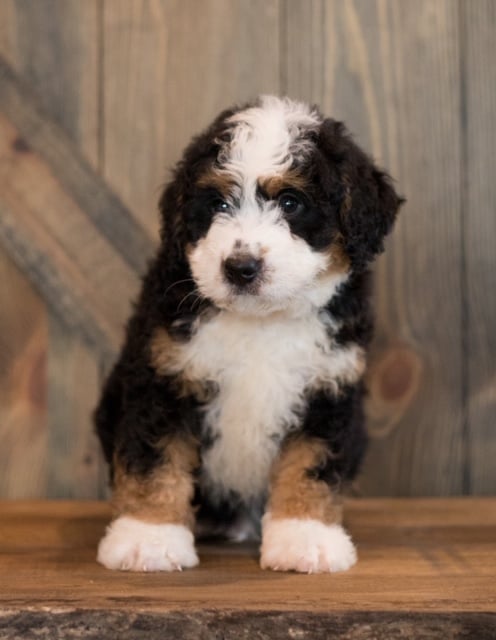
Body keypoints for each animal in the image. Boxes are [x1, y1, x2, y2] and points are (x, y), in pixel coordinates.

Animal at [94, 96, 404, 576]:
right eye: (218, 203)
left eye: (291, 202)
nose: (240, 268)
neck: (262, 321)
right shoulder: (162, 376)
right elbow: (155, 458)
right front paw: (149, 538)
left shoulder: (328, 387)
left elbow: (311, 464)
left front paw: (305, 537)